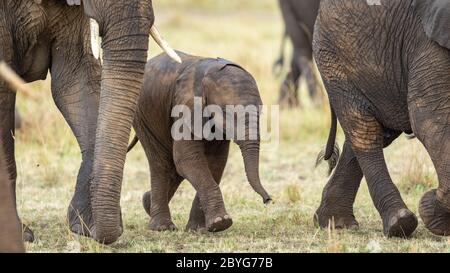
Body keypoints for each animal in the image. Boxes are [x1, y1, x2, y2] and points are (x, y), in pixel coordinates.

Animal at [128, 52, 272, 233]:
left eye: (260, 111)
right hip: (142, 114)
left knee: (173, 168)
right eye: (225, 111)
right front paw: (221, 223)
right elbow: (188, 159)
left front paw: (201, 229)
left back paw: (147, 203)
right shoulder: (184, 108)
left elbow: (215, 162)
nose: (267, 200)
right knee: (161, 163)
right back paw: (162, 227)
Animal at [314, 0, 450, 236]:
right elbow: (429, 118)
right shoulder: (429, 41)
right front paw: (434, 213)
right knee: (364, 130)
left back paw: (335, 223)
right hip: (334, 53)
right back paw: (399, 223)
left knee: (375, 131)